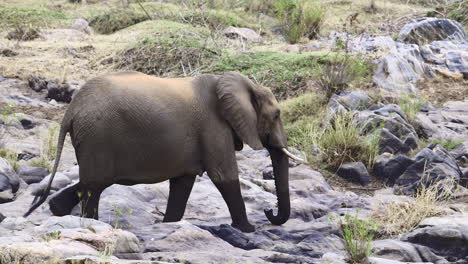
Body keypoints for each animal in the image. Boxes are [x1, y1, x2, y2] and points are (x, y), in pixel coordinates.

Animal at [24, 71, 304, 232]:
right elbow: (223, 175)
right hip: (97, 136)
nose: (268, 212)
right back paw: (91, 222)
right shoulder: (214, 126)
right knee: (94, 185)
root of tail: (70, 110)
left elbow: (183, 183)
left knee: (92, 182)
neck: (243, 84)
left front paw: (169, 224)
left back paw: (57, 208)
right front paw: (247, 230)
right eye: (276, 115)